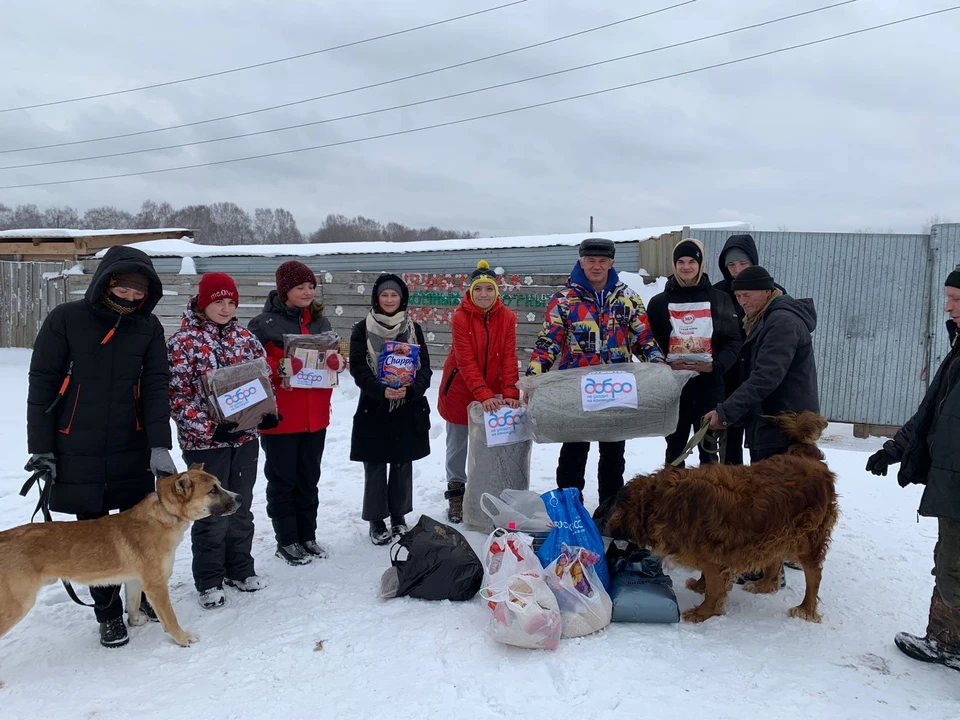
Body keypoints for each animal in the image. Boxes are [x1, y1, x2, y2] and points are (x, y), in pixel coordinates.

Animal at [0, 464, 238, 648]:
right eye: (213, 490)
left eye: (219, 485)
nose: (240, 498)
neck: (164, 513)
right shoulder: (156, 585)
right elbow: (170, 619)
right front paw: (183, 639)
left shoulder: (134, 580)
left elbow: (132, 604)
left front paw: (135, 622)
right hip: (18, 604)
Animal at [604, 410, 836, 624]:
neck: (660, 501)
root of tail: (807, 457)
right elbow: (707, 578)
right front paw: (699, 585)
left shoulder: (715, 556)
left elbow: (714, 590)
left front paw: (703, 612)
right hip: (779, 530)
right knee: (775, 556)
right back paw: (764, 585)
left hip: (808, 538)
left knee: (814, 576)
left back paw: (805, 609)